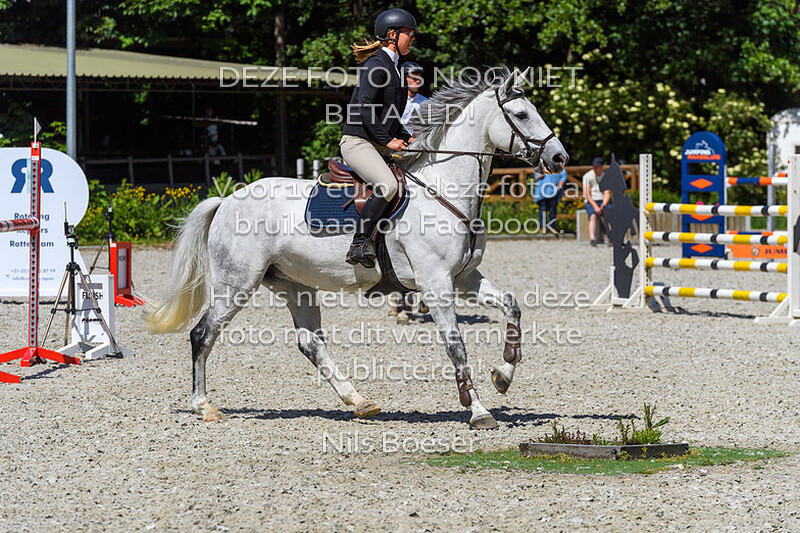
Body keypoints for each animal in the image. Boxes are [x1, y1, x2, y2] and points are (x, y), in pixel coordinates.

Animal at [144, 68, 569, 429]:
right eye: (521, 114)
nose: (558, 157)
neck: (443, 188)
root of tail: (227, 200)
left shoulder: (463, 279)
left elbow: (511, 305)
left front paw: (504, 374)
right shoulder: (436, 283)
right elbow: (456, 346)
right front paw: (479, 411)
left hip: (294, 284)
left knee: (310, 344)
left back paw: (359, 401)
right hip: (237, 284)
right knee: (203, 333)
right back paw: (204, 406)